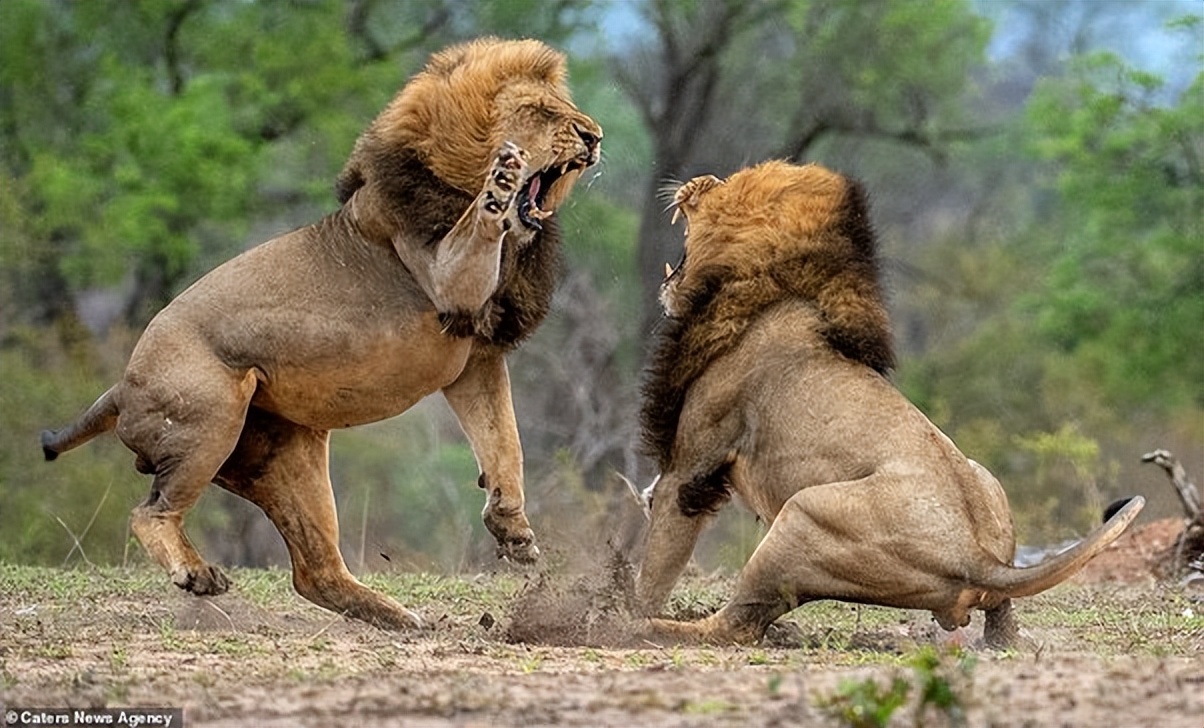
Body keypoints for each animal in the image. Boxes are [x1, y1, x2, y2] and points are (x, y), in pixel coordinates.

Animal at [40, 39, 602, 625]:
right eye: (541, 112)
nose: (595, 137)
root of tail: (121, 385)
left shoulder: (474, 361)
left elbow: (504, 441)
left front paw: (513, 529)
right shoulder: (448, 282)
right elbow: (478, 224)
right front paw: (500, 182)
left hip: (287, 457)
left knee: (315, 573)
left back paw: (397, 616)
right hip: (211, 418)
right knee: (149, 512)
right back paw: (197, 574)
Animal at [635, 160, 1141, 644]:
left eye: (725, 184)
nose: (698, 179)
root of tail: (980, 560)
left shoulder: (694, 466)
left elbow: (659, 560)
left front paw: (624, 608)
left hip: (804, 513)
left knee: (735, 625)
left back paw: (649, 629)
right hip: (984, 479)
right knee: (1003, 618)